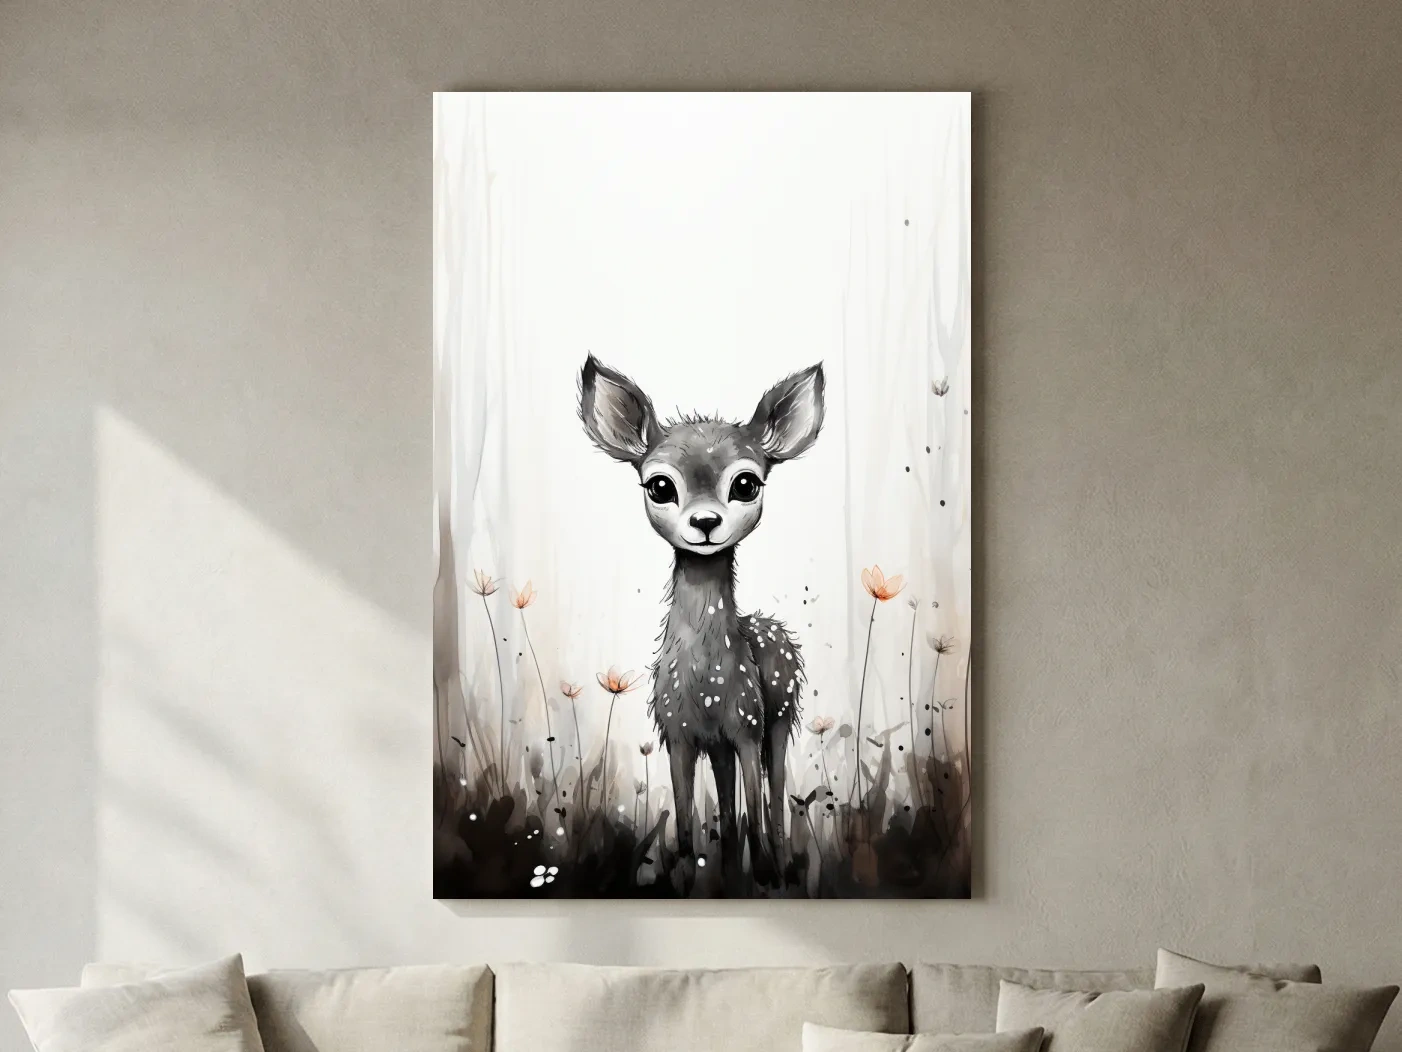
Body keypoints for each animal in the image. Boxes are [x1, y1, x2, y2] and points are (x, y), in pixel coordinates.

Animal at [578, 354, 825, 886]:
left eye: (746, 483)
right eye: (660, 485)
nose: (706, 522)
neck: (707, 681)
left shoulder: (747, 724)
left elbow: (756, 805)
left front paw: (765, 874)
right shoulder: (679, 734)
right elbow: (689, 824)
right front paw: (688, 875)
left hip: (779, 717)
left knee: (773, 798)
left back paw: (775, 866)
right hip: (721, 744)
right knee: (728, 809)